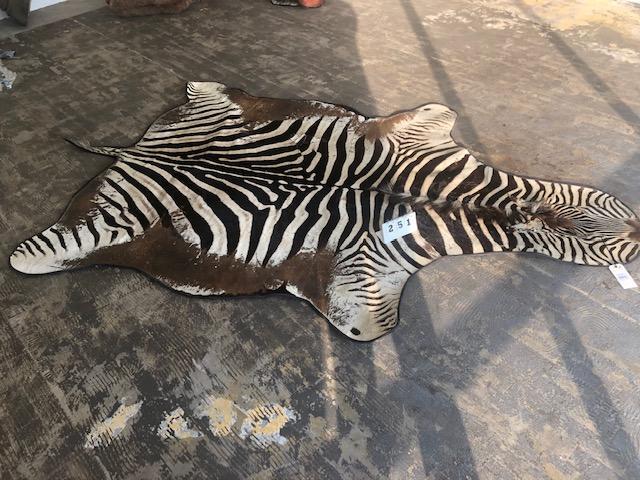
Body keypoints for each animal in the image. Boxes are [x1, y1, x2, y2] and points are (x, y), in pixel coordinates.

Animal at [10, 82, 640, 341]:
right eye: (610, 241)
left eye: (614, 204)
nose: (637, 228)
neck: (442, 200)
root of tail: (138, 146)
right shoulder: (358, 274)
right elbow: (366, 324)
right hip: (109, 228)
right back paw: (28, 257)